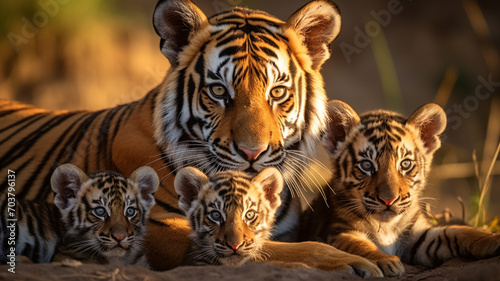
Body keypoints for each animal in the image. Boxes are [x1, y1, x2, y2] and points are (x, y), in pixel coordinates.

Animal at [0, 0, 380, 274]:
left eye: (277, 92)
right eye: (218, 91)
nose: (252, 153)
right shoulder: (163, 228)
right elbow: (280, 249)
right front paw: (356, 264)